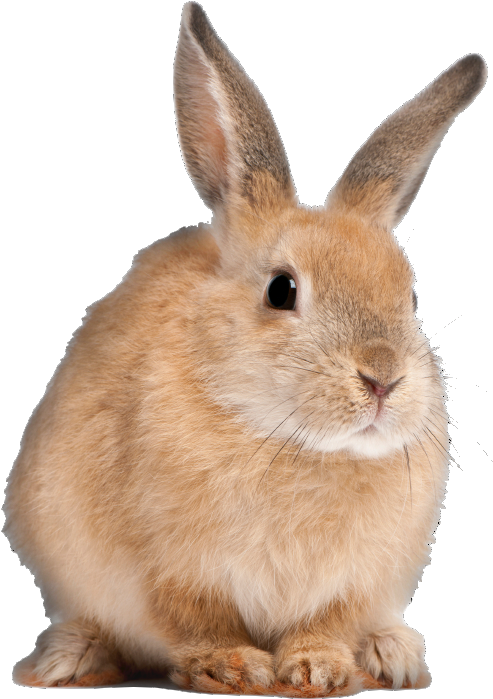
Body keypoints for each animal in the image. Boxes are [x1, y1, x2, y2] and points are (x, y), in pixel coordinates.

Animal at [4, 1, 487, 694]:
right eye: (282, 290)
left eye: (408, 293)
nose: (383, 379)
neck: (289, 441)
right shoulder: (169, 572)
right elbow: (196, 622)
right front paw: (232, 666)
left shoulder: (354, 584)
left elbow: (326, 624)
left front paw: (319, 668)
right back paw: (66, 661)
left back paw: (393, 656)